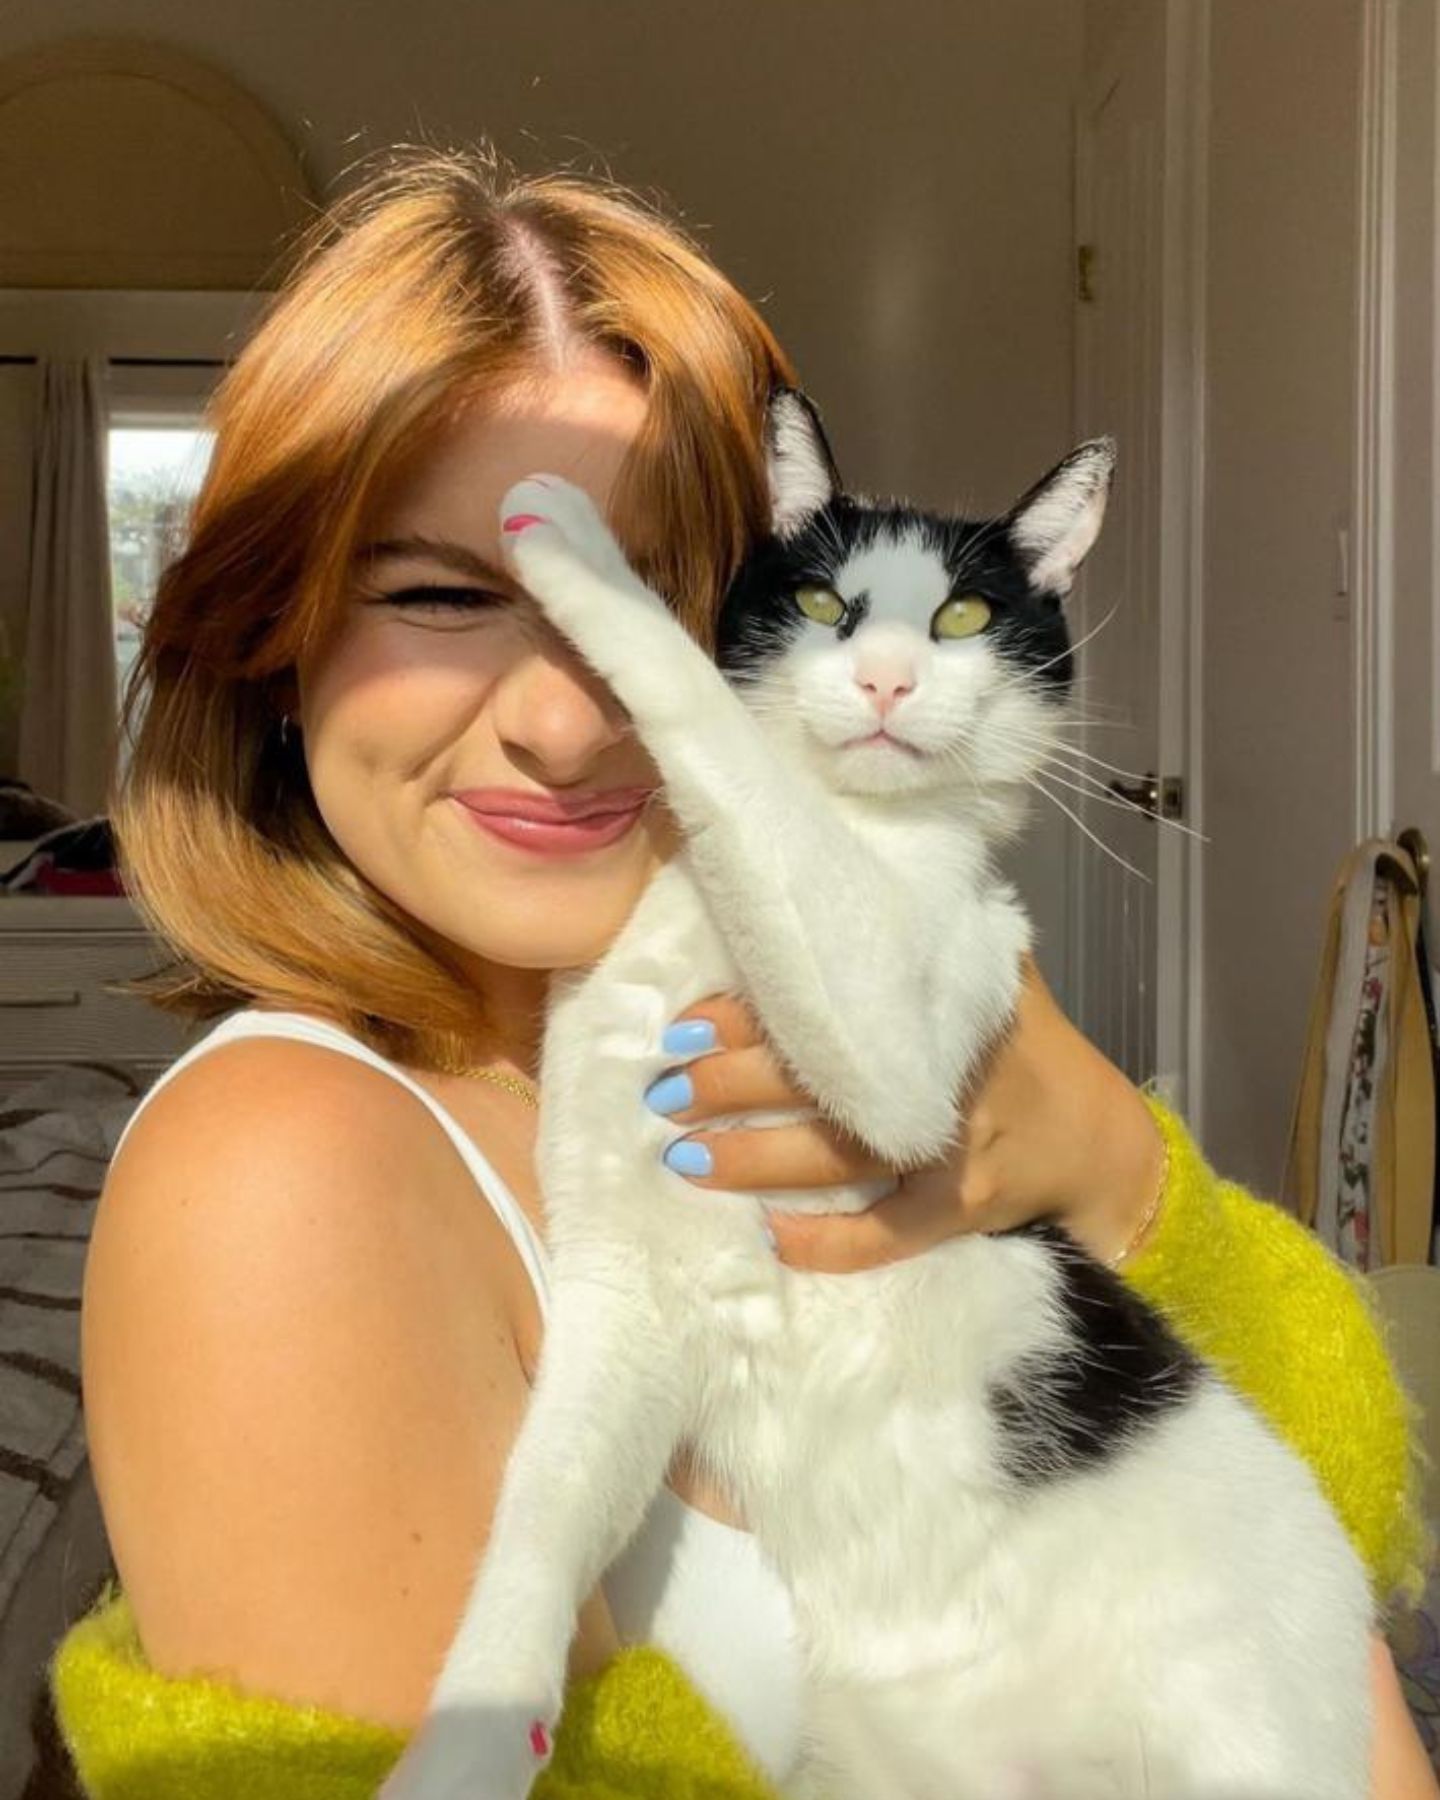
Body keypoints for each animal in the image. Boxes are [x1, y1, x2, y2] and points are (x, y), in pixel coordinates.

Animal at [381, 397, 1375, 1800]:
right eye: (819, 602)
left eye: (960, 616)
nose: (887, 681)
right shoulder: (629, 1288)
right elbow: (542, 1505)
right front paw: (470, 1736)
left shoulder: (914, 1034)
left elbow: (741, 766)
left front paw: (590, 564)